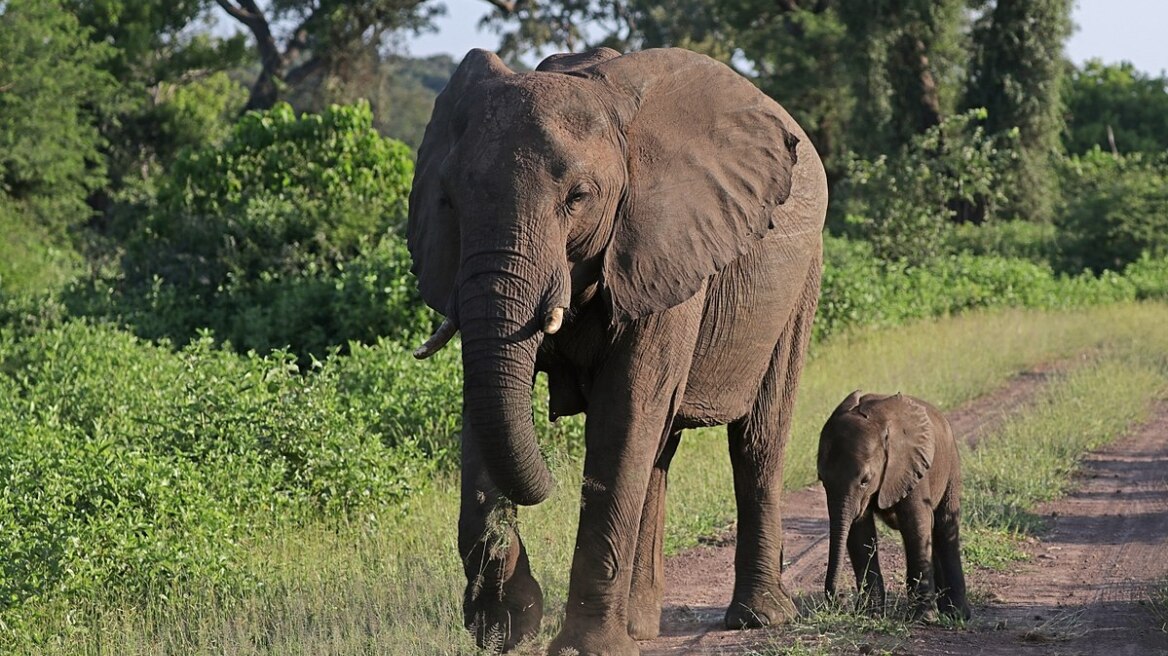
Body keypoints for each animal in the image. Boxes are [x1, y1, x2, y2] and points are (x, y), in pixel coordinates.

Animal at [411, 47, 831, 653]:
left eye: (578, 198)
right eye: (449, 201)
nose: (551, 480)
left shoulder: (666, 245)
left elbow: (624, 409)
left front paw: (580, 646)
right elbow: (483, 407)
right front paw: (506, 628)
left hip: (801, 278)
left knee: (756, 439)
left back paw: (758, 618)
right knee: (659, 450)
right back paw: (640, 626)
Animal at [817, 389, 971, 620]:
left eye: (865, 480)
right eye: (822, 479)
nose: (840, 600)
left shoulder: (910, 465)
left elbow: (916, 524)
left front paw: (923, 618)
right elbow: (860, 532)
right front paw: (870, 615)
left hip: (951, 465)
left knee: (945, 527)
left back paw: (958, 615)